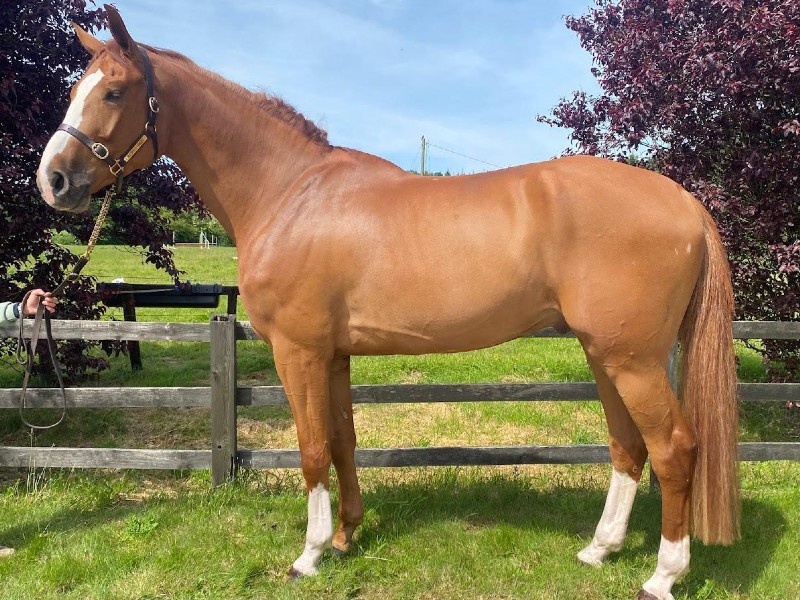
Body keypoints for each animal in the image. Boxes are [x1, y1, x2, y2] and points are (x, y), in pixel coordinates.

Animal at [36, 6, 739, 599]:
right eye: (75, 89)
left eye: (115, 91)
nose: (53, 180)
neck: (290, 192)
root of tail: (683, 200)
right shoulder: (335, 354)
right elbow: (343, 440)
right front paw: (347, 537)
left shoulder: (298, 351)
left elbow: (311, 449)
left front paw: (310, 554)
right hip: (604, 352)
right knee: (628, 446)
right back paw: (600, 549)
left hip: (632, 359)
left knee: (674, 448)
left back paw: (663, 575)